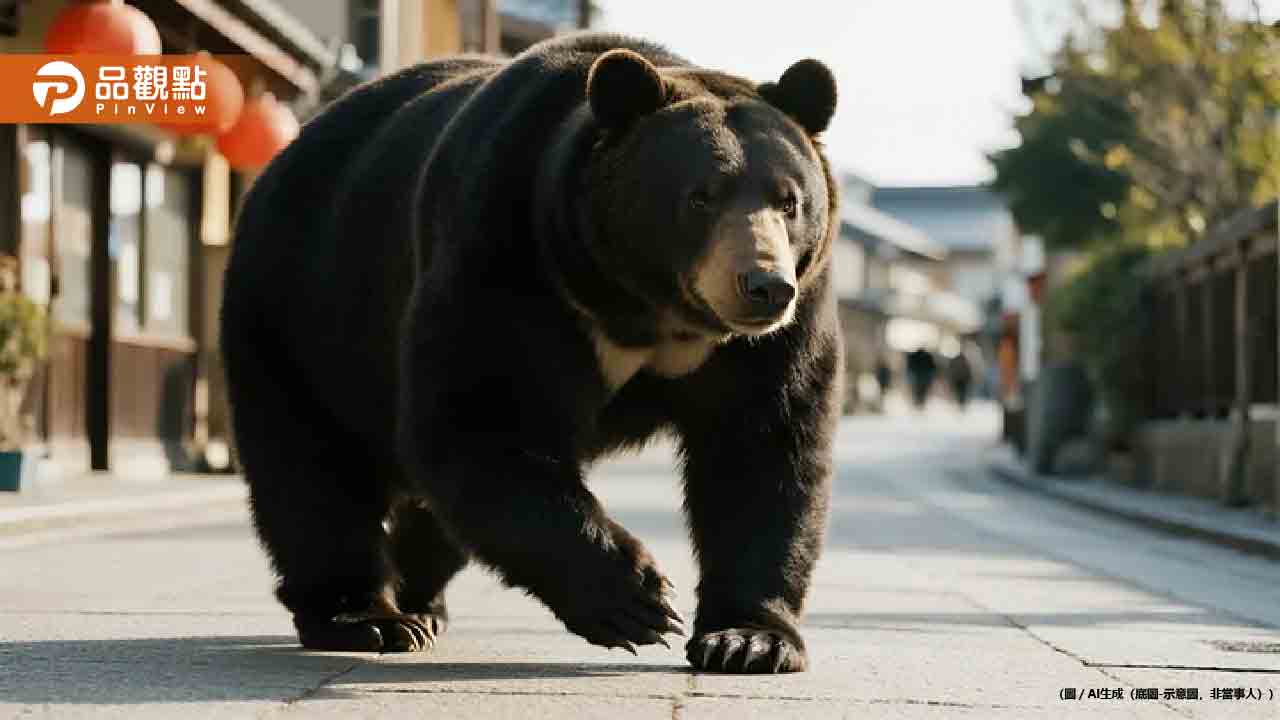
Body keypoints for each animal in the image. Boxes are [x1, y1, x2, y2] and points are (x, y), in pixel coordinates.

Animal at [220, 32, 842, 674]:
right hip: (301, 307)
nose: (764, 285)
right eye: (701, 196)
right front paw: (637, 601)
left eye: (790, 201)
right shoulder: (506, 257)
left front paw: (748, 640)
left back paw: (421, 602)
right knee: (310, 469)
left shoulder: (774, 336)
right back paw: (367, 617)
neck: (646, 309)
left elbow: (763, 448)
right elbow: (483, 419)